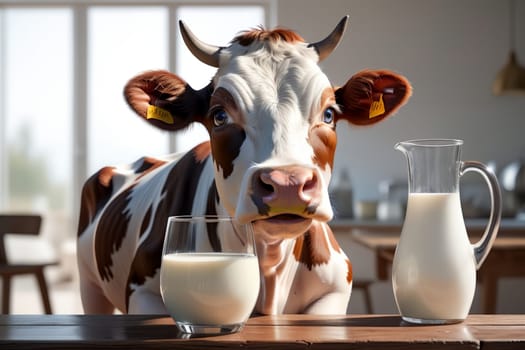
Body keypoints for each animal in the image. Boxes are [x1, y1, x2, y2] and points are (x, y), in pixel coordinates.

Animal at [77, 16, 410, 314]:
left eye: (328, 114)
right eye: (219, 116)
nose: (288, 184)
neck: (269, 264)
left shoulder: (334, 292)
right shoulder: (142, 291)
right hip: (89, 286)